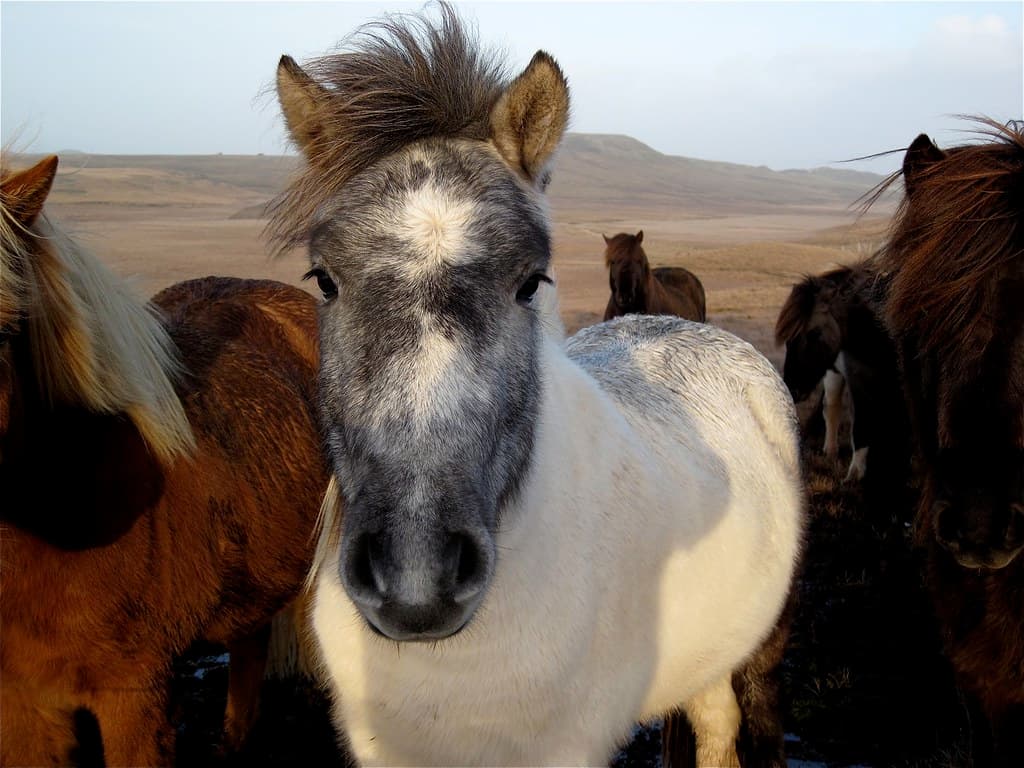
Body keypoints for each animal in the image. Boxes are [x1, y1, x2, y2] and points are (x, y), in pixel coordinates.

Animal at [774, 263, 909, 488]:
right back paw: (830, 450)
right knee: (831, 408)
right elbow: (861, 424)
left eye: (813, 334)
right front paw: (856, 474)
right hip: (833, 374)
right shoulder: (859, 381)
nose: (793, 388)